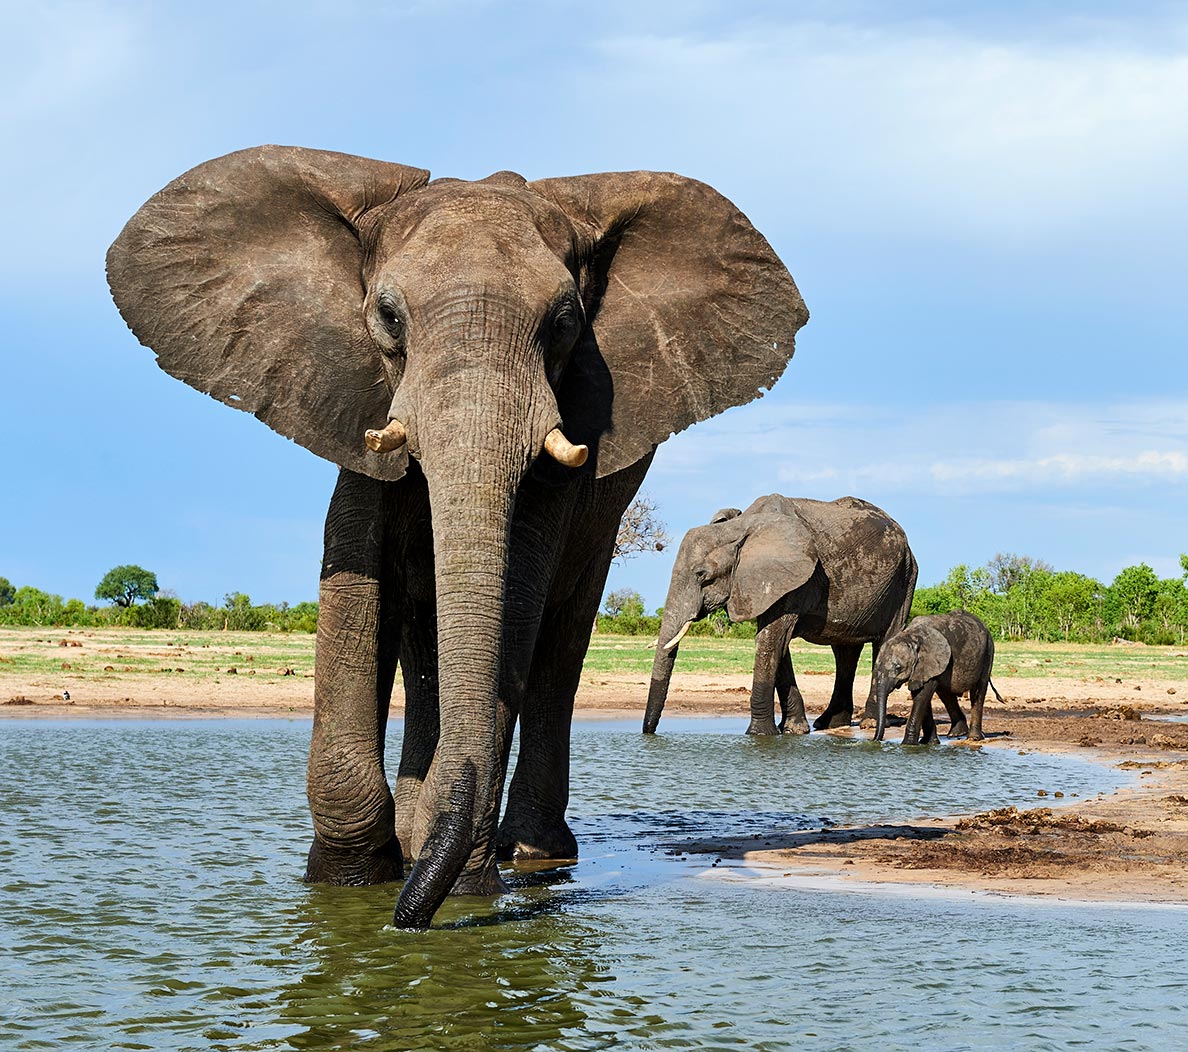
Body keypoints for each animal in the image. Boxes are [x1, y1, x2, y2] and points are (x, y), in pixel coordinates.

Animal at [106, 146, 807, 928]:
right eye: (387, 315)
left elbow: (517, 601)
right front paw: (351, 879)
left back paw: (527, 854)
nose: (404, 920)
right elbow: (356, 583)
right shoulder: (356, 402)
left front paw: (461, 878)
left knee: (558, 644)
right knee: (427, 636)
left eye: (565, 322)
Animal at [643, 495, 917, 737]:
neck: (741, 527)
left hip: (904, 579)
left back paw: (869, 723)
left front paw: (759, 734)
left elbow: (771, 639)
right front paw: (793, 730)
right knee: (844, 651)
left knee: (885, 639)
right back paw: (828, 724)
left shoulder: (793, 579)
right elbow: (777, 646)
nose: (648, 733)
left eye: (701, 574)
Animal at [872, 610, 1003, 744]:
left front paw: (908, 745)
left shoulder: (930, 661)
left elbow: (922, 694)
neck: (911, 636)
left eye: (898, 667)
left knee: (978, 692)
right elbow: (920, 694)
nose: (876, 740)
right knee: (946, 694)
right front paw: (929, 743)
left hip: (988, 652)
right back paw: (956, 733)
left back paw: (973, 738)